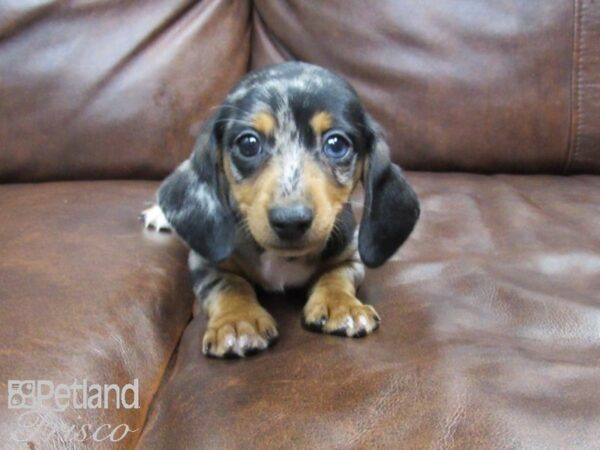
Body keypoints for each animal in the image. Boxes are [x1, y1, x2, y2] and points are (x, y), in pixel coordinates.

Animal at [143, 62, 420, 358]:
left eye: (336, 144)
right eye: (248, 144)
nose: (291, 221)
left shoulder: (349, 257)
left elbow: (335, 275)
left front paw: (343, 305)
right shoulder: (205, 263)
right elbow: (230, 285)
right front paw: (238, 321)